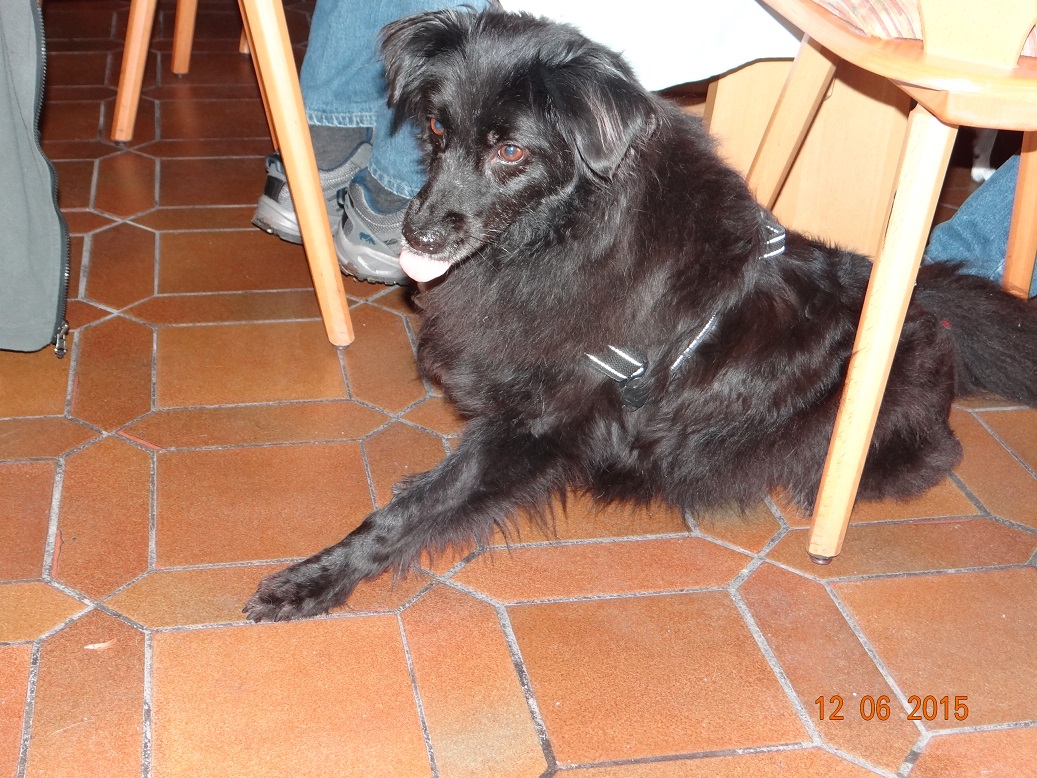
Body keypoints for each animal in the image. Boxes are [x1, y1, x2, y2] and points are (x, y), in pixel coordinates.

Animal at [245, 6, 1037, 622]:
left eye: (511, 151)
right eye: (438, 130)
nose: (418, 234)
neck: (569, 234)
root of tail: (915, 298)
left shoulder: (537, 427)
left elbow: (408, 511)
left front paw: (312, 579)